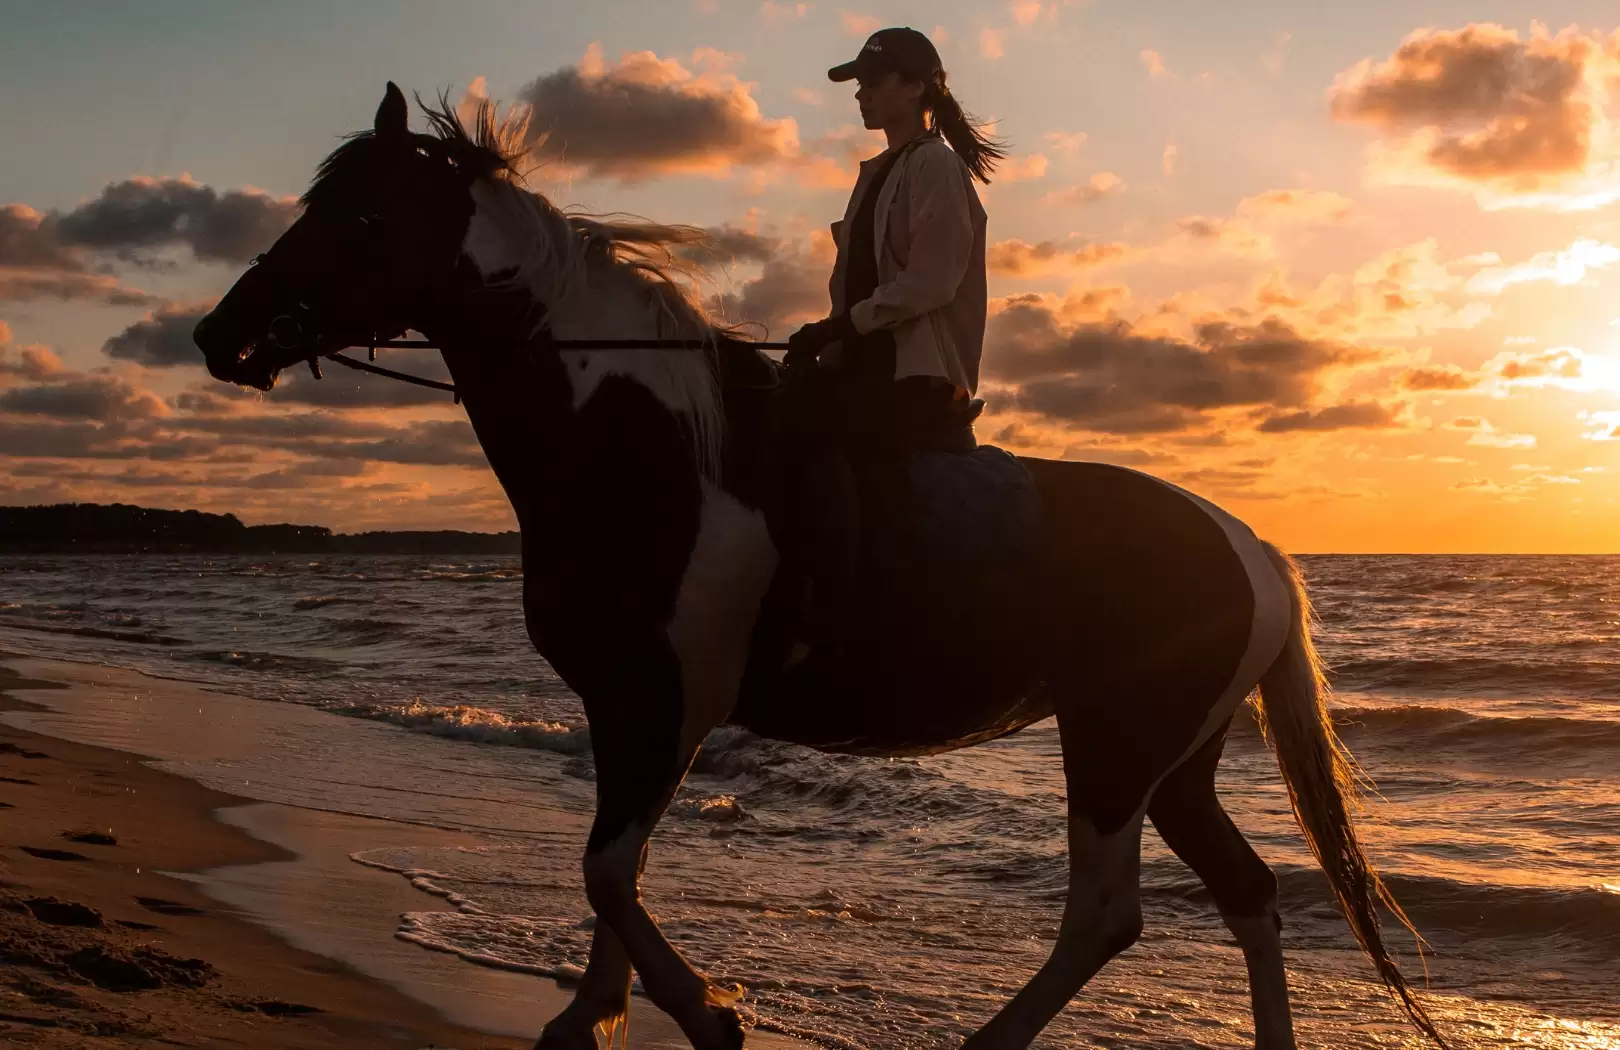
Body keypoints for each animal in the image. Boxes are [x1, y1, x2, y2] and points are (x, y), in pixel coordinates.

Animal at [192, 84, 1446, 1050]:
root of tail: (1252, 550)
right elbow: (609, 864)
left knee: (1107, 916)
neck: (646, 443)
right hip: (1173, 760)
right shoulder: (619, 702)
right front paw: (591, 1015)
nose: (220, 335)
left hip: (1118, 748)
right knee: (1246, 894)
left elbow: (609, 867)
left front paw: (706, 1012)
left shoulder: (671, 701)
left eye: (361, 214)